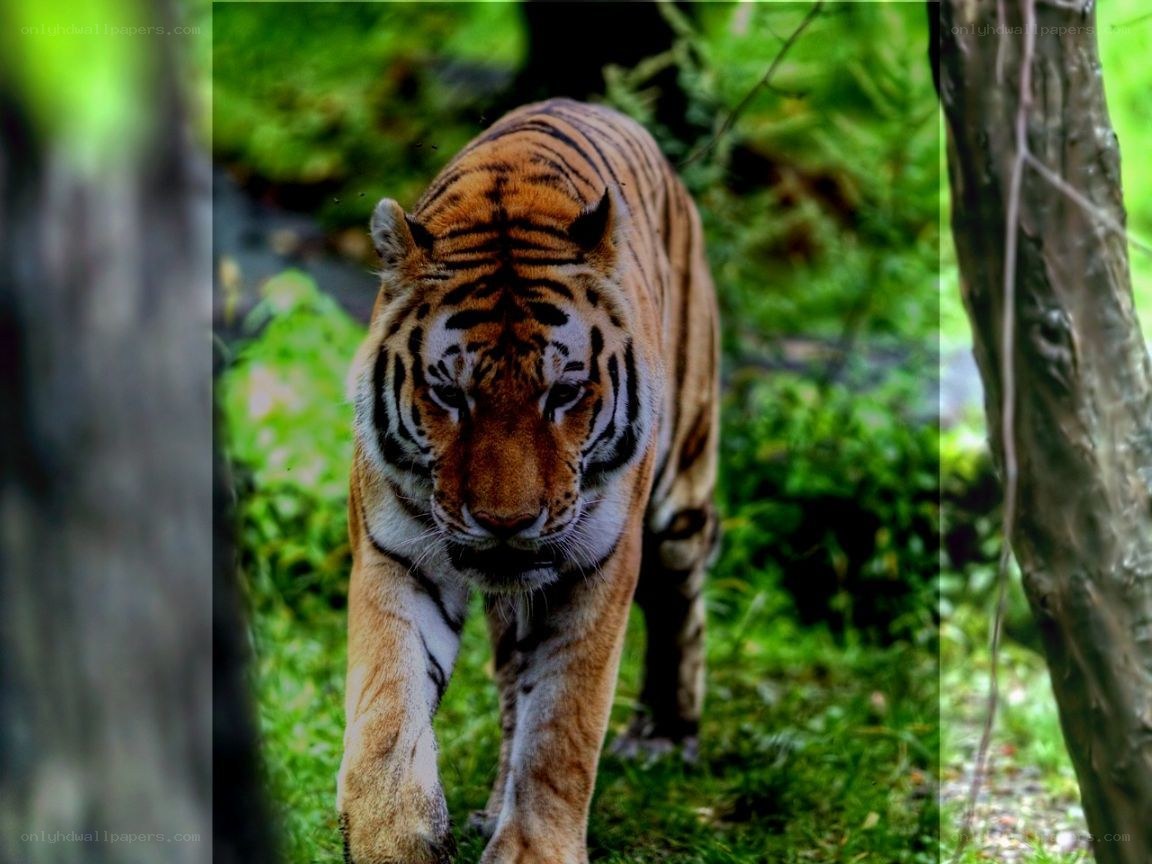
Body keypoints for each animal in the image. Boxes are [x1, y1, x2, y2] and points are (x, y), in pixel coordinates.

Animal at [336, 97, 719, 864]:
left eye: (563, 393)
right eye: (449, 395)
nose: (507, 524)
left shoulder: (599, 567)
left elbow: (562, 730)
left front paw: (534, 850)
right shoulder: (395, 554)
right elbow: (389, 704)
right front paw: (392, 835)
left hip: (679, 495)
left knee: (682, 591)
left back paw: (666, 734)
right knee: (514, 688)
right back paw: (490, 809)